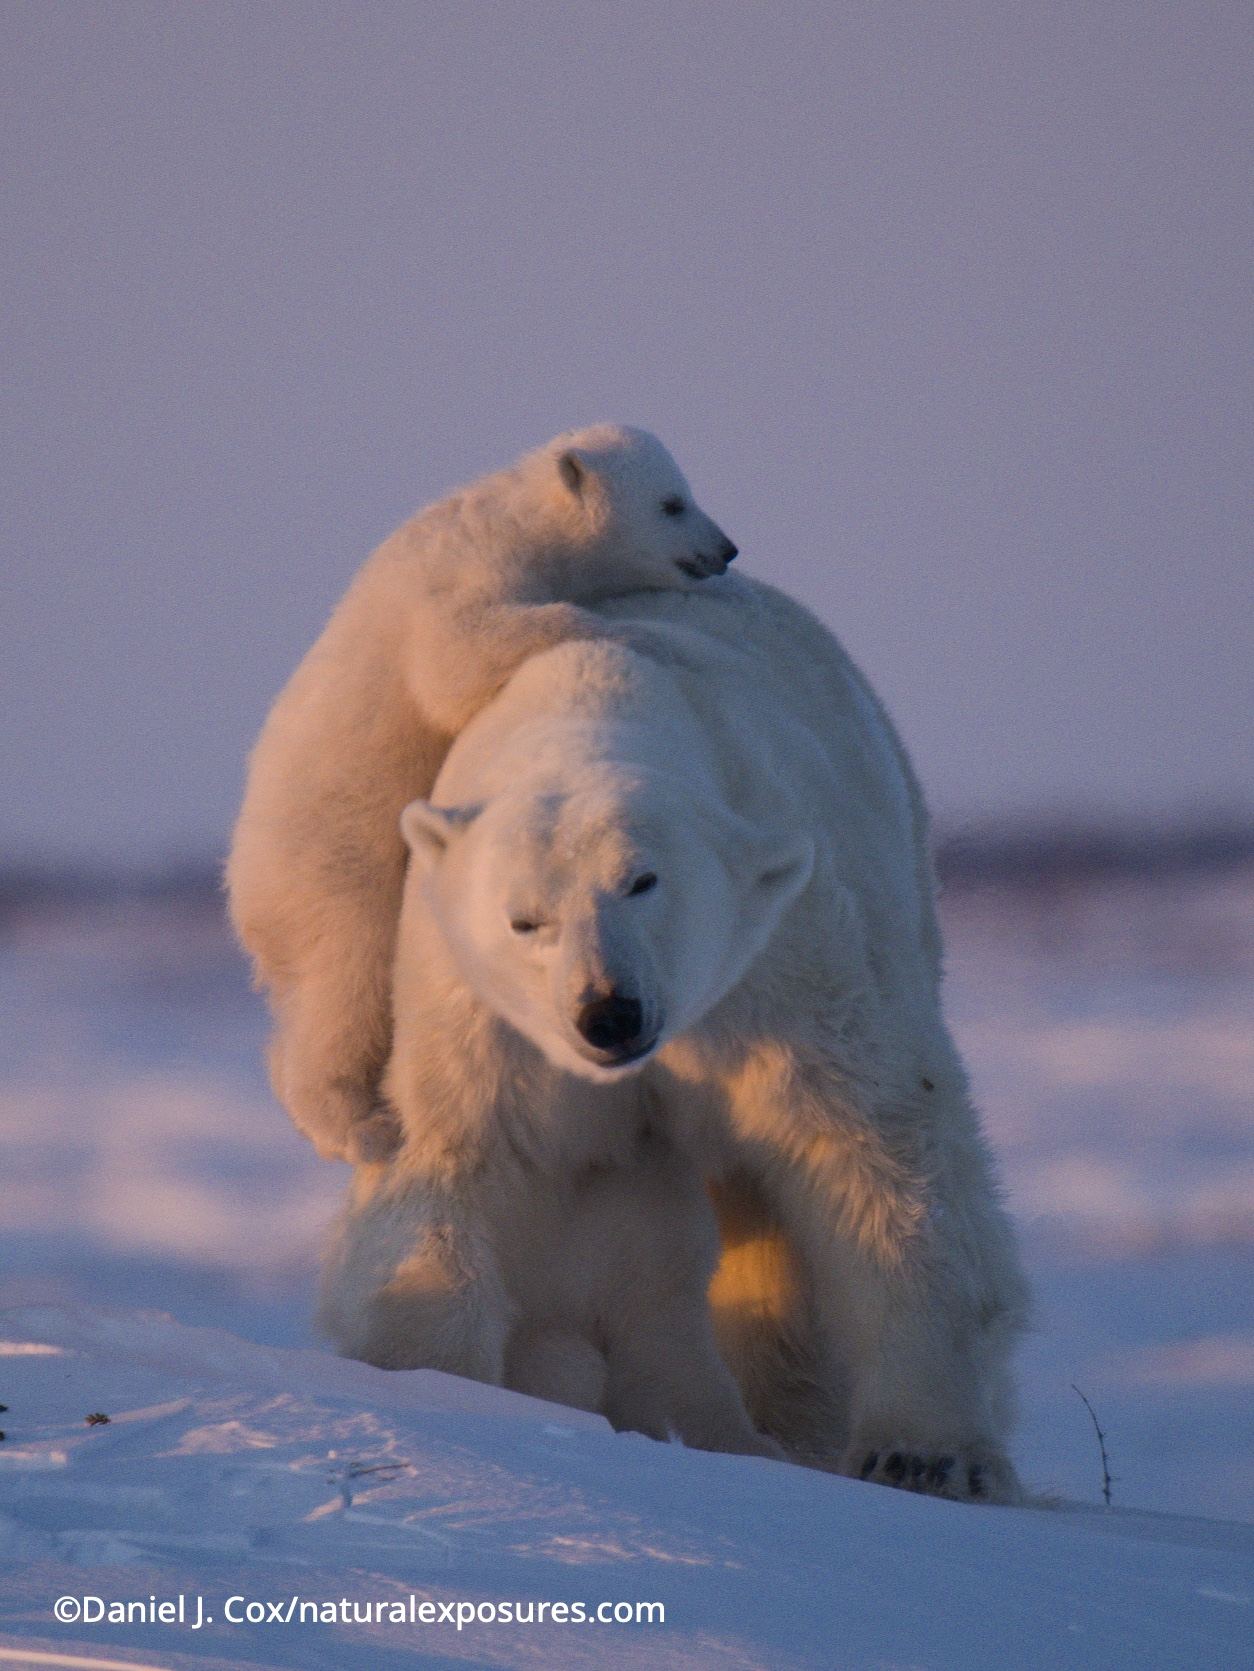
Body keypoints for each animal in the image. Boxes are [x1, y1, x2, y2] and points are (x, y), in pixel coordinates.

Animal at [226, 425, 737, 1164]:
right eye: (673, 502)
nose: (726, 550)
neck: (517, 520)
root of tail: (242, 894)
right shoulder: (465, 575)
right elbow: (458, 657)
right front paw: (655, 635)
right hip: (331, 863)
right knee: (347, 979)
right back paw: (359, 1126)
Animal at [318, 579, 1030, 1501]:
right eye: (524, 919)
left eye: (642, 880)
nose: (608, 1014)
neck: (598, 694)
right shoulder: (484, 1019)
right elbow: (458, 1162)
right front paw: (437, 1387)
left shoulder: (779, 958)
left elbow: (870, 1148)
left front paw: (925, 1454)